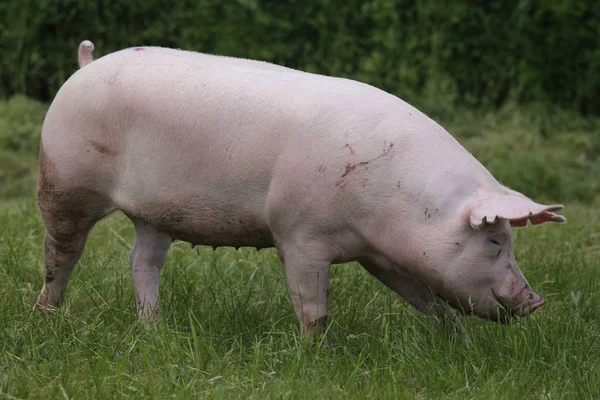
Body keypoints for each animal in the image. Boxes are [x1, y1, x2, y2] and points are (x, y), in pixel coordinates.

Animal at [35, 39, 564, 340]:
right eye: (494, 240)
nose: (536, 301)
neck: (392, 208)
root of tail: (84, 66)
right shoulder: (299, 234)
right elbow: (312, 305)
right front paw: (315, 353)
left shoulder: (384, 256)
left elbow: (427, 300)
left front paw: (461, 343)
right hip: (63, 179)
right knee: (62, 254)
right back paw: (46, 317)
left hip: (154, 213)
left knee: (142, 262)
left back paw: (155, 332)